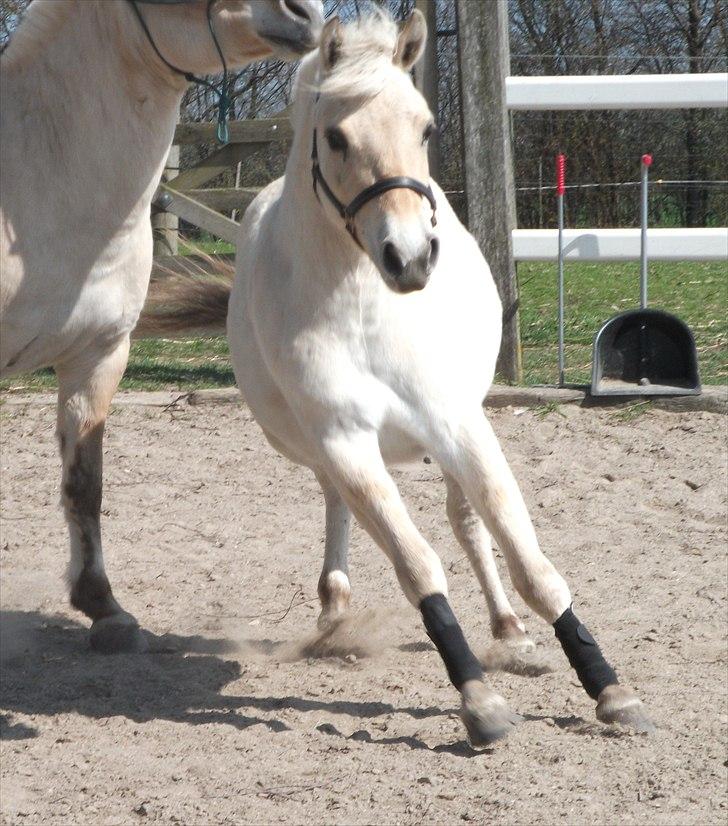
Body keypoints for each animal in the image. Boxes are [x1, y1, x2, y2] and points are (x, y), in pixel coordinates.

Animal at [146, 8, 656, 740]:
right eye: (336, 136)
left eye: (426, 128)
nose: (411, 258)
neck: (364, 306)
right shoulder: (345, 440)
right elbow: (416, 562)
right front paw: (478, 700)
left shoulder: (455, 421)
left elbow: (526, 558)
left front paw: (609, 689)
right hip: (314, 445)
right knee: (339, 502)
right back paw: (335, 610)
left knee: (465, 521)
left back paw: (509, 632)